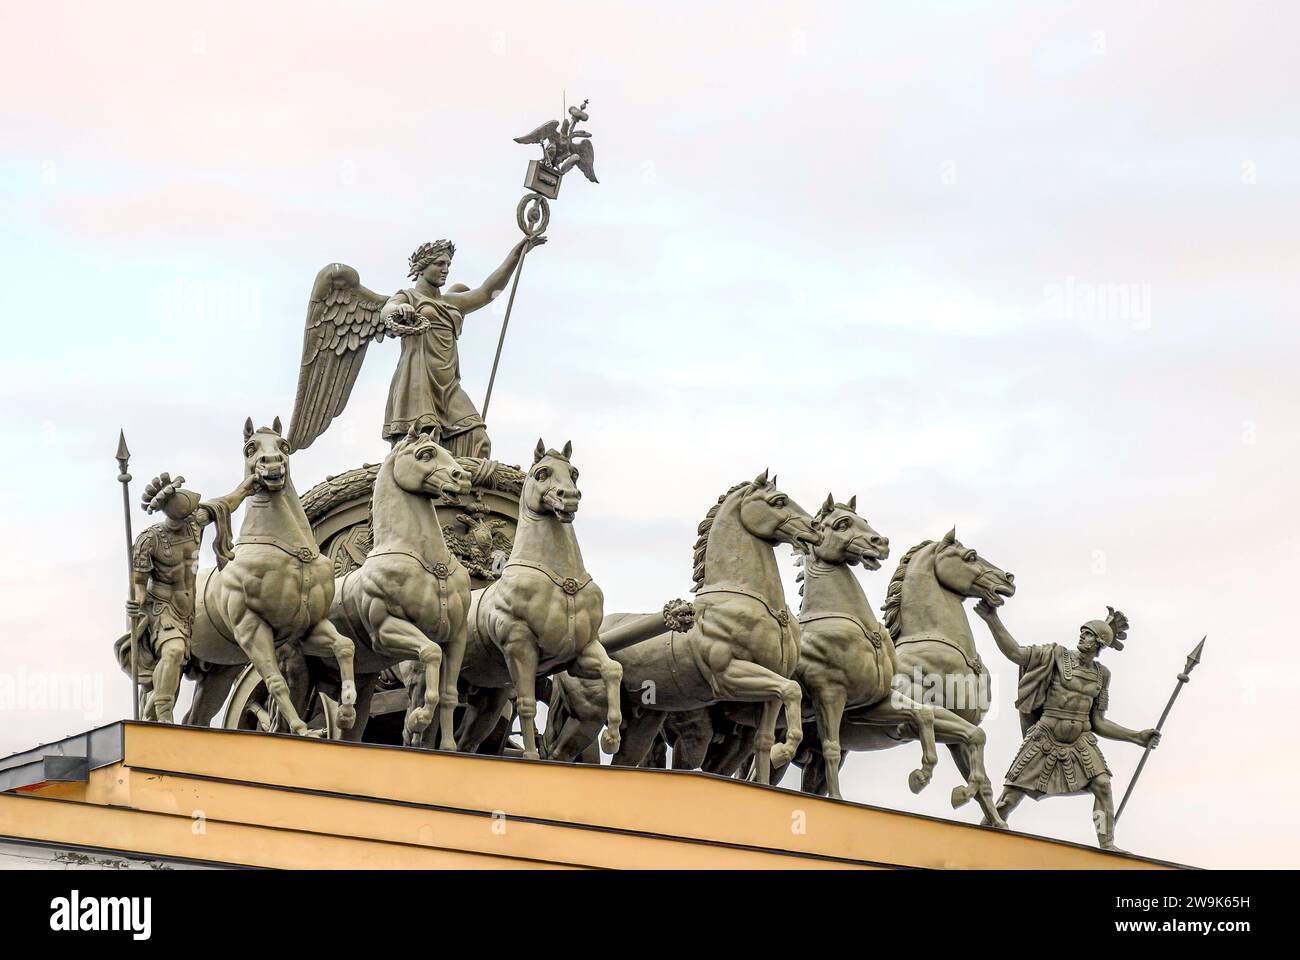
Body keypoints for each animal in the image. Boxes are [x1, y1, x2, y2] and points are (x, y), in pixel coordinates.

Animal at [185, 416, 358, 738]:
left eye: (284, 446)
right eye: (250, 448)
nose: (273, 464)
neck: (292, 551)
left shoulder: (308, 627)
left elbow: (345, 646)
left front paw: (346, 713)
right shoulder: (252, 628)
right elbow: (276, 682)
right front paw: (300, 728)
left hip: (218, 672)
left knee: (195, 716)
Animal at [327, 426, 475, 749]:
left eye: (448, 451)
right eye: (426, 454)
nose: (464, 478)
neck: (430, 563)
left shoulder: (457, 636)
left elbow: (449, 694)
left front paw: (448, 748)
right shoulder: (386, 630)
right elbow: (430, 654)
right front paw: (417, 719)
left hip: (364, 675)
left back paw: (345, 717)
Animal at [452, 437, 624, 759]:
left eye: (574, 473)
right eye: (541, 473)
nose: (569, 498)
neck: (562, 581)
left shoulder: (581, 652)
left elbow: (613, 670)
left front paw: (611, 738)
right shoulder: (520, 648)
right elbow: (527, 704)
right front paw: (531, 757)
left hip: (488, 696)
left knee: (465, 739)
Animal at [603, 468, 816, 780]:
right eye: (779, 501)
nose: (816, 530)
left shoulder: (771, 689)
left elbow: (765, 738)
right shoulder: (727, 676)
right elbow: (793, 691)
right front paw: (784, 751)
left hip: (646, 718)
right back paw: (607, 739)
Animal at [790, 522, 1013, 822]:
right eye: (971, 556)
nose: (1008, 579)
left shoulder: (957, 738)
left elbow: (980, 767)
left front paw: (994, 822)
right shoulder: (922, 715)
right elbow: (970, 734)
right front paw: (925, 780)